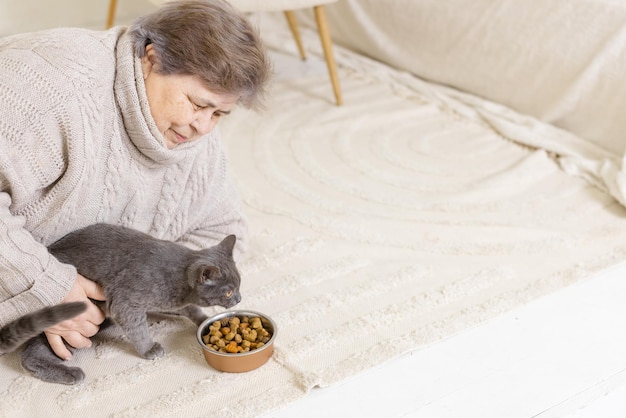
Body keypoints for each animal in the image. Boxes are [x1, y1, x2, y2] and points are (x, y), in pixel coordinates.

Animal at [6, 222, 240, 386]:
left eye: (239, 285)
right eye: (228, 291)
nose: (239, 298)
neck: (179, 283)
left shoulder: (172, 302)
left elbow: (190, 309)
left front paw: (205, 319)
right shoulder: (126, 303)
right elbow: (138, 330)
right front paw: (149, 349)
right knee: (29, 358)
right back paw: (70, 373)